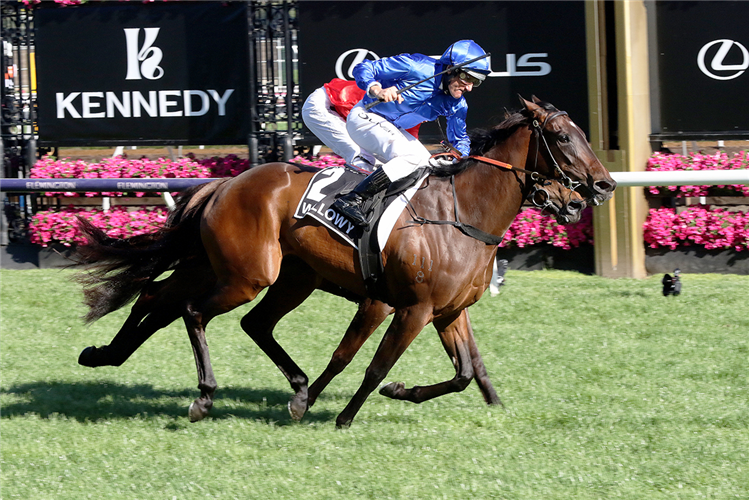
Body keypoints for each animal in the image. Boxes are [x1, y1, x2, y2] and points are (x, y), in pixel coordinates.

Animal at [76, 97, 612, 426]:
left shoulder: (448, 310)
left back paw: (105, 354)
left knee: (173, 300)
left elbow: (465, 371)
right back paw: (205, 394)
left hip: (258, 272)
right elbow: (366, 362)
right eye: (563, 138)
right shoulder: (407, 307)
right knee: (192, 311)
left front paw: (404, 393)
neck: (462, 214)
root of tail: (225, 183)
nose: (597, 188)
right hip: (248, 274)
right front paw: (342, 413)